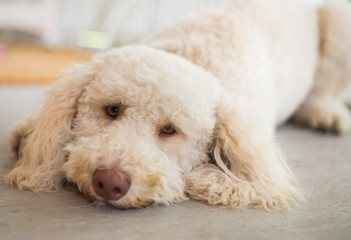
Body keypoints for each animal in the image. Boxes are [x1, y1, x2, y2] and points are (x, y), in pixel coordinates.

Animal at [3, 0, 351, 209]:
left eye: (170, 130)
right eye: (112, 110)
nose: (109, 182)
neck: (192, 55)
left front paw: (212, 182)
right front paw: (27, 133)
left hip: (338, 19)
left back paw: (325, 114)